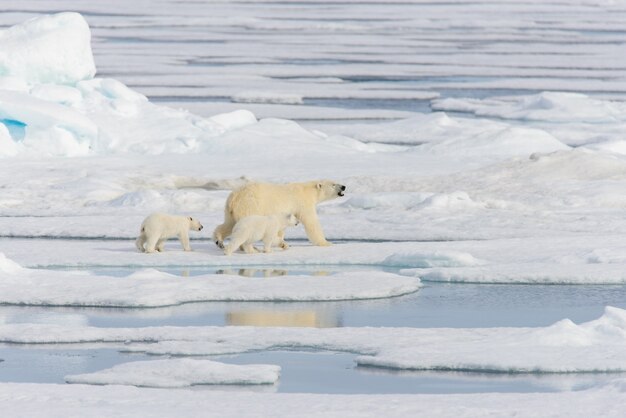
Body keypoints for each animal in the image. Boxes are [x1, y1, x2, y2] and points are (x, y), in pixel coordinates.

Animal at [212, 180, 344, 248]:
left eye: (336, 181)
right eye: (333, 184)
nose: (344, 186)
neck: (307, 190)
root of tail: (234, 197)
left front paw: (281, 241)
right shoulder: (302, 203)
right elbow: (311, 222)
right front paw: (326, 242)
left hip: (230, 210)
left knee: (229, 224)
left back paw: (219, 241)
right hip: (249, 205)